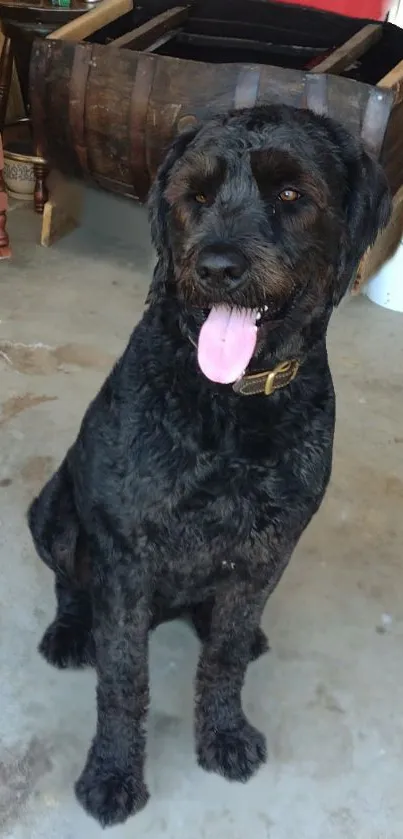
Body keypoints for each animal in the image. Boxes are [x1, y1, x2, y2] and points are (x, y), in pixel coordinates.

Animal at [26, 105, 392, 828]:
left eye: (290, 194)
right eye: (194, 197)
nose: (217, 265)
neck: (228, 403)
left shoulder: (267, 550)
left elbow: (223, 657)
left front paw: (224, 731)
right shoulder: (125, 555)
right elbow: (122, 679)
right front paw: (112, 773)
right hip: (52, 509)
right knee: (69, 581)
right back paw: (71, 629)